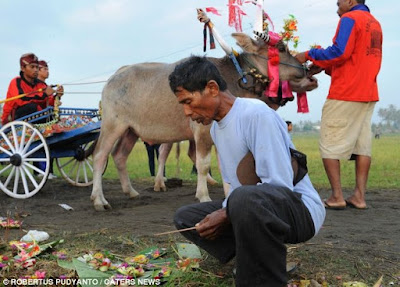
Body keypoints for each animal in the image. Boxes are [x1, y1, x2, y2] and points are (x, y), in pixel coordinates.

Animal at [90, 33, 318, 212]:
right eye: (281, 48)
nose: (305, 70)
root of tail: (114, 77)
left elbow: (227, 165)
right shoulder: (202, 131)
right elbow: (203, 164)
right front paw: (203, 195)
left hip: (131, 130)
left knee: (119, 156)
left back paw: (131, 191)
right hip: (112, 125)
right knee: (100, 156)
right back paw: (99, 199)